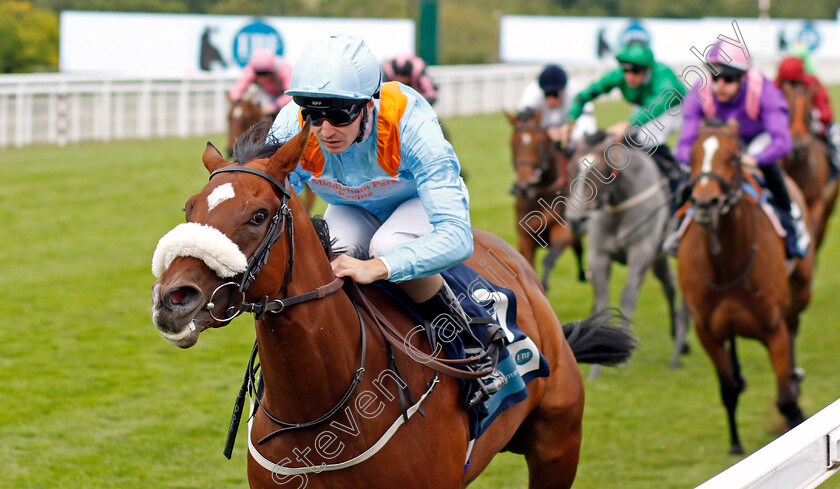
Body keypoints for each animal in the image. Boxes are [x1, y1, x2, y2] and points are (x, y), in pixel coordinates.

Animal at [506, 107, 584, 290]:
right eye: (512, 145)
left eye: (538, 145)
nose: (524, 186)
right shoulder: (525, 237)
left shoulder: (563, 230)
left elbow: (549, 260)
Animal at [564, 130, 688, 370]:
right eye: (572, 168)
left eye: (599, 170)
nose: (575, 220)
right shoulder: (599, 257)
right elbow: (602, 302)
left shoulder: (641, 253)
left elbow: (628, 296)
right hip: (658, 258)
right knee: (669, 287)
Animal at [680, 119, 816, 454]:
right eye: (692, 156)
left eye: (733, 157)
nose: (705, 204)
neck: (727, 267)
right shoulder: (707, 331)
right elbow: (728, 389)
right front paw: (735, 443)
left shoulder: (773, 328)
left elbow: (785, 399)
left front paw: (794, 416)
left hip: (800, 290)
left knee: (794, 325)